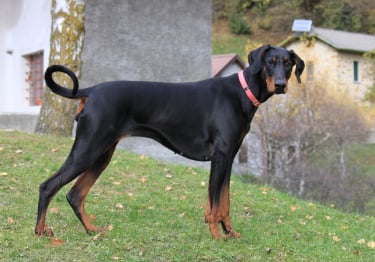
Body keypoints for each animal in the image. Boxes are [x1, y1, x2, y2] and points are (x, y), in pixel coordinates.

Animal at [36, 45, 306, 239]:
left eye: (288, 63)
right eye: (271, 62)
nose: (281, 85)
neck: (242, 91)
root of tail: (91, 91)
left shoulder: (228, 159)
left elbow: (223, 202)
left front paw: (230, 232)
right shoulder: (220, 157)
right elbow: (216, 204)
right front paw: (217, 236)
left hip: (102, 154)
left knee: (75, 194)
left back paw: (92, 230)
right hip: (88, 148)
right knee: (49, 186)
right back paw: (41, 231)